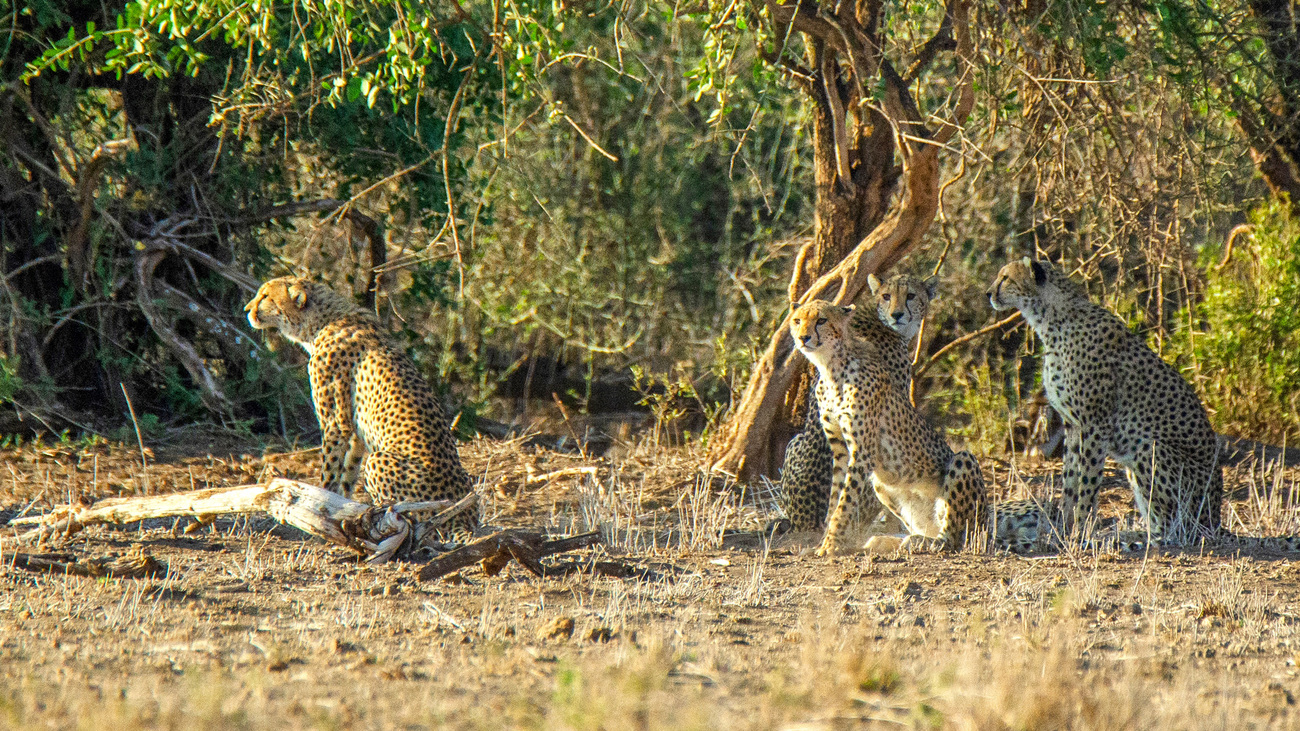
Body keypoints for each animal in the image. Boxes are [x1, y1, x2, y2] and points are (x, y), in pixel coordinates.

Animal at [244, 274, 478, 535]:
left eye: (265, 296)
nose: (246, 310)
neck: (323, 321)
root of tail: (465, 522)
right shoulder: (355, 431)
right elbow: (348, 472)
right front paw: (340, 508)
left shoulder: (334, 423)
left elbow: (330, 470)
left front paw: (319, 506)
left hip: (379, 461)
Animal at [987, 256, 1294, 546]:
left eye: (1005, 277)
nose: (989, 293)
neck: (1050, 320)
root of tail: (1215, 520)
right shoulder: (1074, 426)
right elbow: (1071, 483)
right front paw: (1063, 530)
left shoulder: (1095, 425)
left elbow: (1087, 483)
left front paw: (1079, 533)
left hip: (1149, 447)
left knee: (1175, 529)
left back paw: (1130, 537)